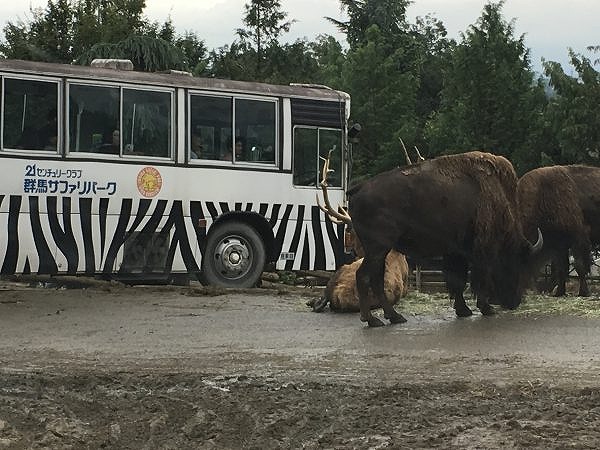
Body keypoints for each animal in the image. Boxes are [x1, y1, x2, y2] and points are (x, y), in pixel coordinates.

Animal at [344, 152, 540, 326]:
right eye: (518, 263)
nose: (514, 302)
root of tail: (358, 189)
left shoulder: (455, 251)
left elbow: (457, 280)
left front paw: (463, 310)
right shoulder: (479, 250)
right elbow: (477, 278)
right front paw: (486, 308)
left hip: (378, 250)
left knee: (376, 278)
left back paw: (394, 317)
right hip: (377, 248)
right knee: (363, 276)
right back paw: (372, 320)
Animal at [516, 165, 600, 298]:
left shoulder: (578, 238)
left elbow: (579, 265)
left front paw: (584, 292)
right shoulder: (559, 245)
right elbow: (562, 268)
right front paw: (559, 292)